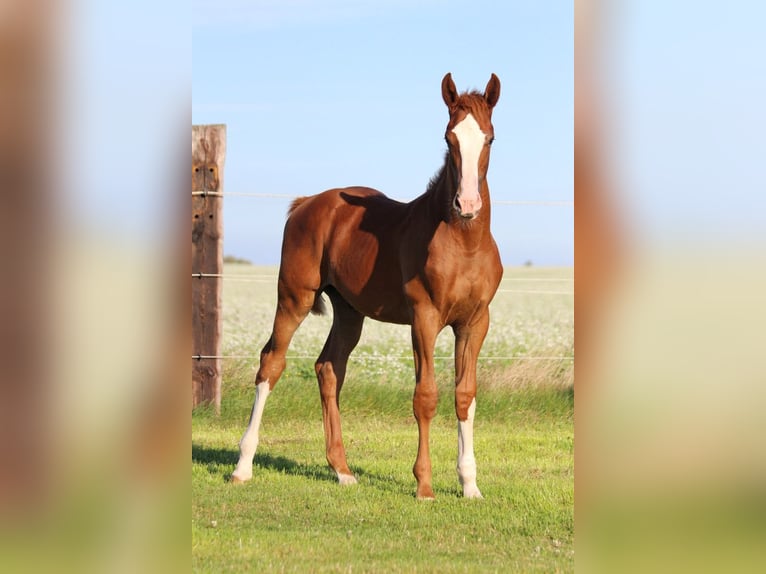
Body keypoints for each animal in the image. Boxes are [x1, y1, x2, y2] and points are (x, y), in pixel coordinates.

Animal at [232, 73, 503, 499]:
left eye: (489, 138)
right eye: (449, 138)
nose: (467, 205)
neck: (464, 244)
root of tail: (306, 203)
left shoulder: (475, 322)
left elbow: (465, 395)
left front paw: (470, 486)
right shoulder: (424, 318)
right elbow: (426, 395)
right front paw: (424, 486)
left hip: (349, 312)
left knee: (328, 368)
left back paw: (342, 470)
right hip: (294, 298)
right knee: (271, 363)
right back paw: (242, 466)